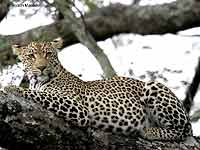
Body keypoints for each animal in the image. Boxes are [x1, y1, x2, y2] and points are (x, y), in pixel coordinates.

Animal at [3, 37, 192, 141]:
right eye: (31, 56)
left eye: (48, 54)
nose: (41, 67)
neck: (38, 81)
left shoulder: (78, 108)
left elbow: (40, 94)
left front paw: (11, 88)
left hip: (153, 86)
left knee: (184, 129)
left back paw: (149, 131)